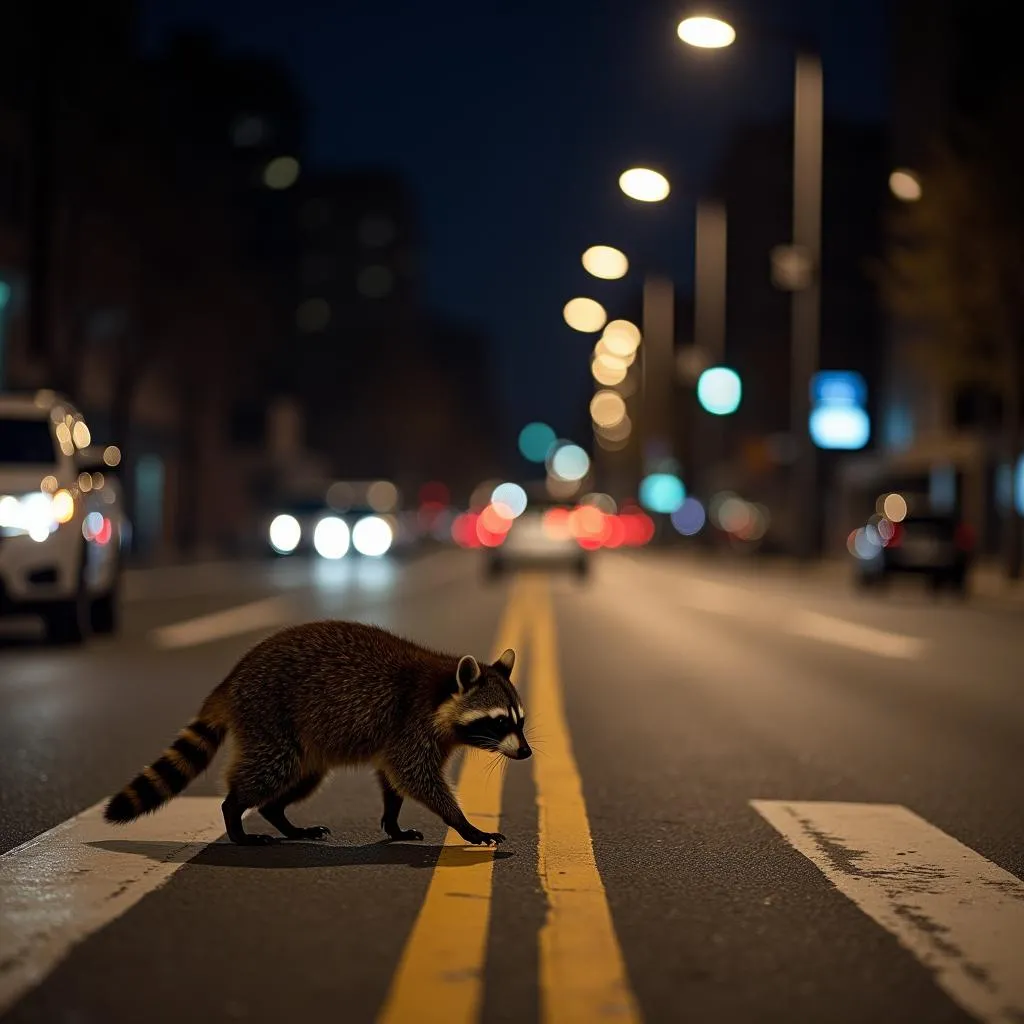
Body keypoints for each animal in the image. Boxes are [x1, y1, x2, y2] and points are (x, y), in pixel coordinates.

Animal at [104, 622, 532, 847]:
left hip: (302, 743)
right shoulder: (410, 724)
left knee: (298, 780)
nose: (526, 753)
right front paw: (464, 824)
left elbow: (393, 781)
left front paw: (393, 822)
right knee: (269, 772)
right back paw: (234, 816)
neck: (442, 689)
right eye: (499, 722)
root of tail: (232, 678)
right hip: (268, 716)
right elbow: (416, 777)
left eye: (521, 721)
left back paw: (280, 817)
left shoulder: (406, 737)